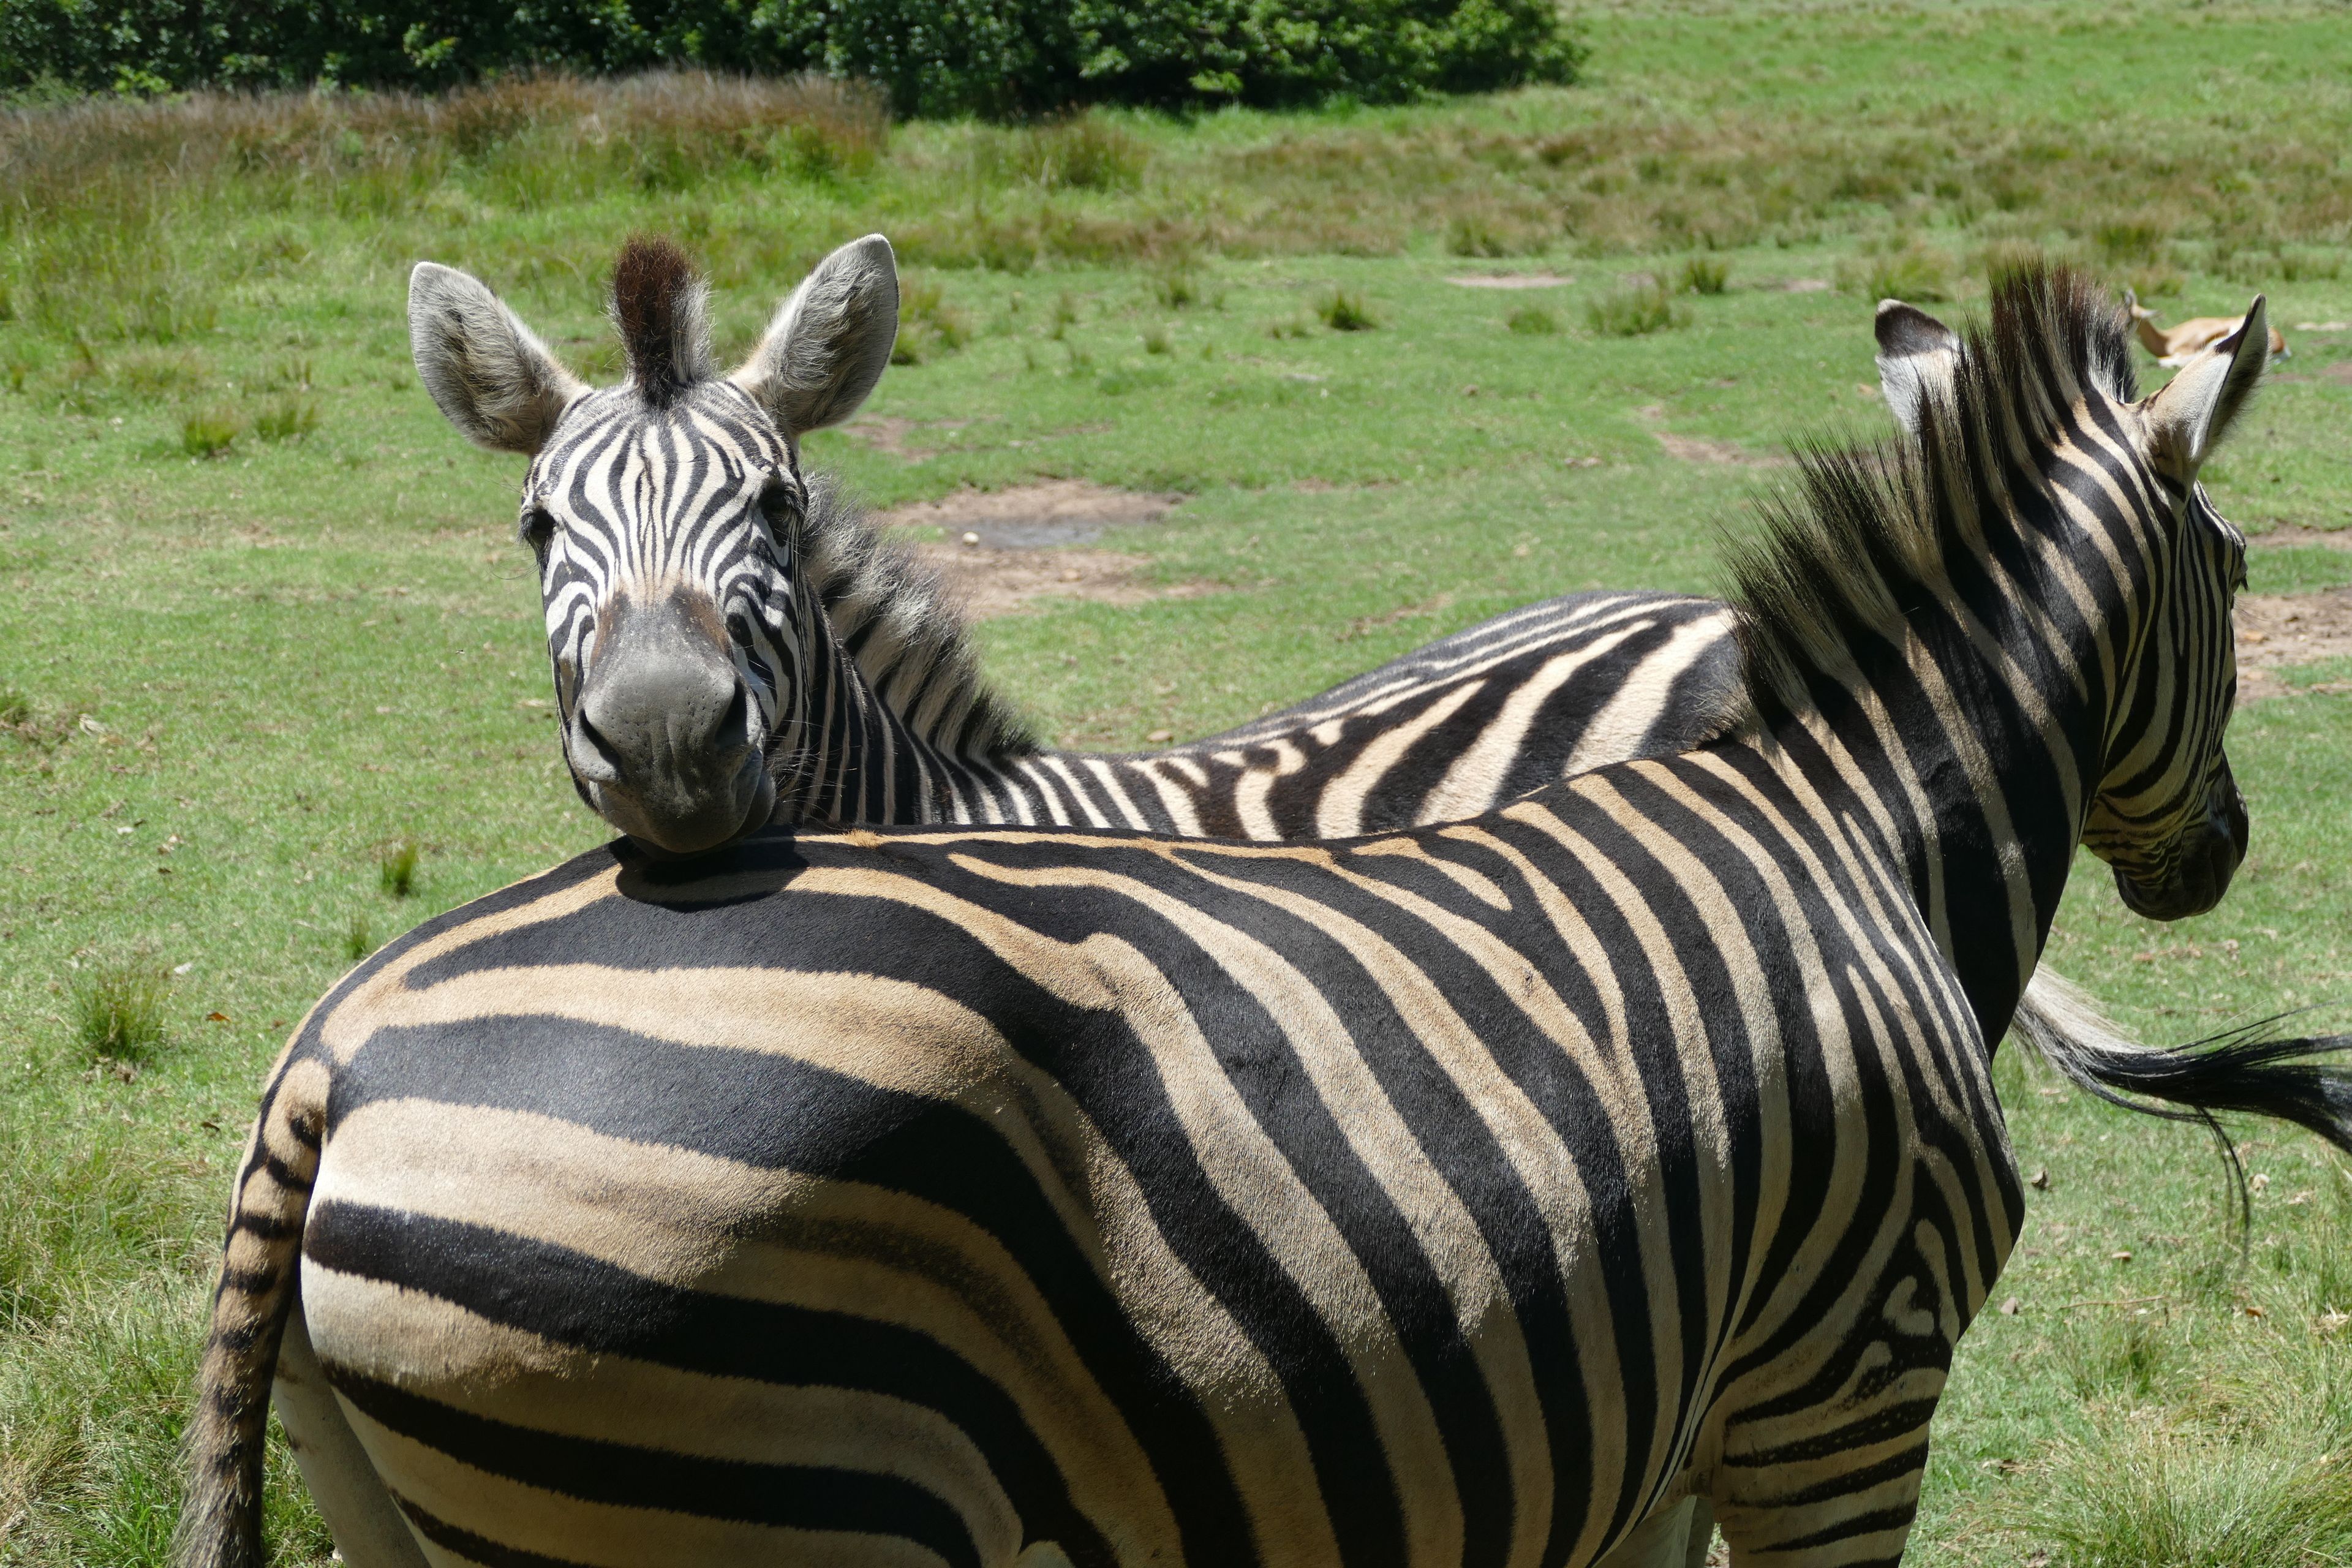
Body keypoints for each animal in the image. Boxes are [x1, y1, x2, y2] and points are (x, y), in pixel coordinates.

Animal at [182, 267, 2352, 1568]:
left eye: (780, 507)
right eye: (2243, 567)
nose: (664, 749)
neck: (1848, 811)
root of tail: (329, 1057)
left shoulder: (1678, 1403)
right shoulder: (1841, 1385)